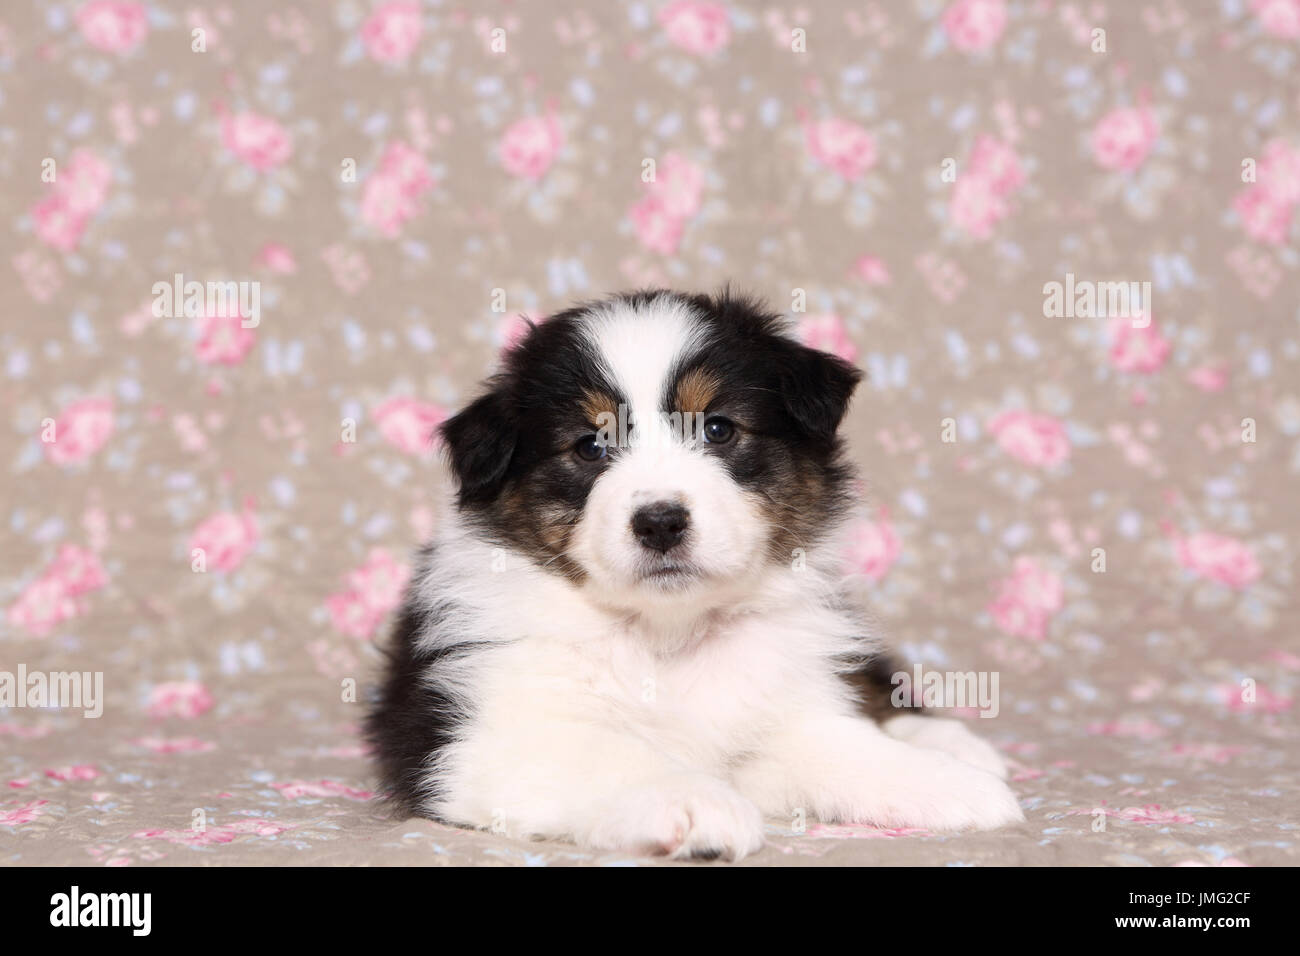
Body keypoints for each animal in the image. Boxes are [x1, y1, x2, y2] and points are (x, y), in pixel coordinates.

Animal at [361, 290, 1019, 858]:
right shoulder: (475, 738)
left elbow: (841, 743)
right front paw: (693, 803)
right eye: (589, 446)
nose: (659, 522)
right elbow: (609, 751)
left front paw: (948, 784)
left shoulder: (773, 710)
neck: (669, 634)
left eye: (719, 428)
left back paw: (952, 744)